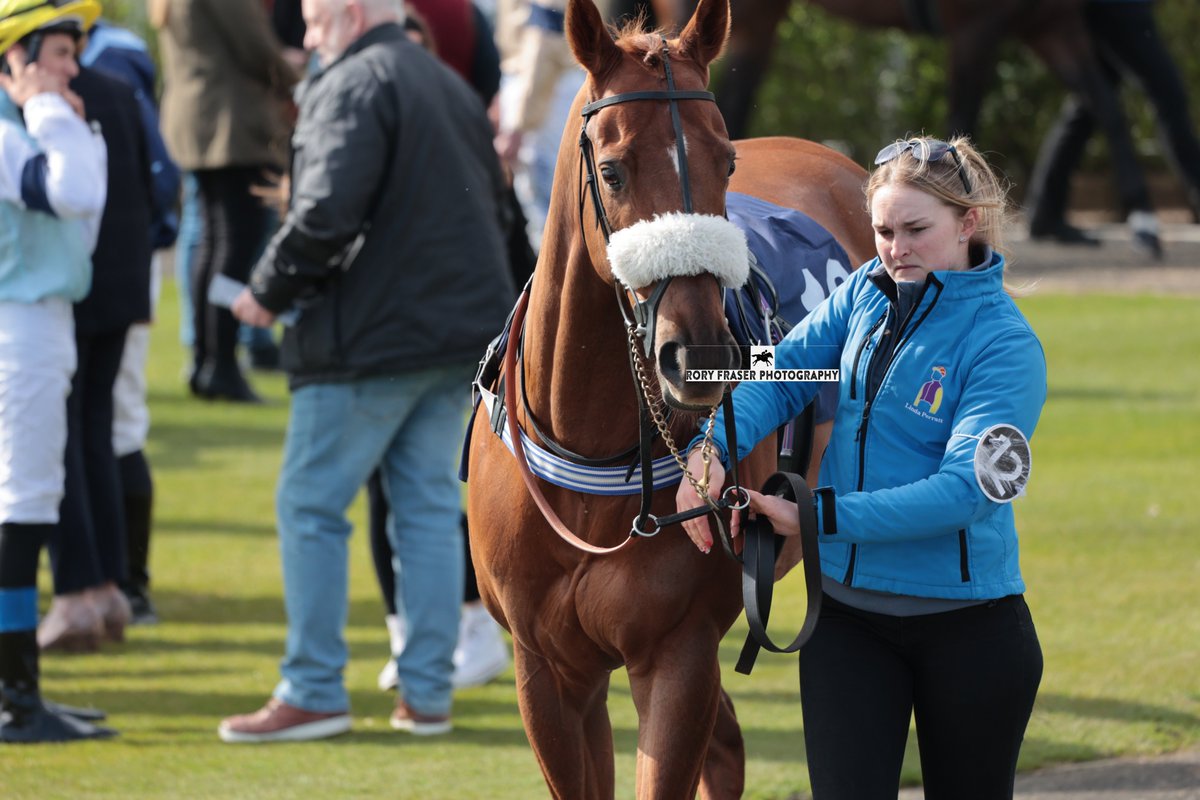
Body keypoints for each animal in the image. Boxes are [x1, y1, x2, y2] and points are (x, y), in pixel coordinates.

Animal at [465, 0, 873, 796]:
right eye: (613, 169)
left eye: (726, 162)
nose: (703, 356)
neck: (589, 456)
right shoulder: (548, 671)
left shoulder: (678, 654)